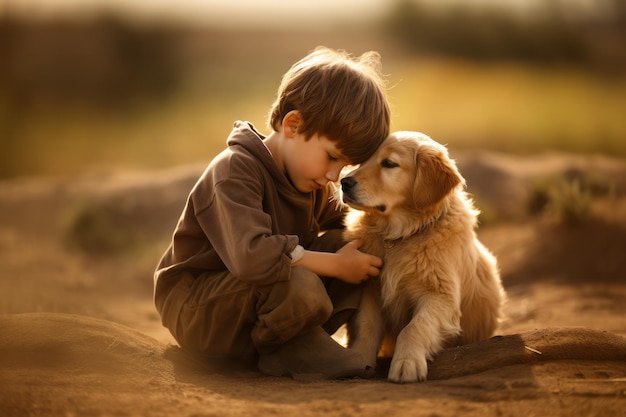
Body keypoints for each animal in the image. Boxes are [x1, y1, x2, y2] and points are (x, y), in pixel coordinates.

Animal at [338, 132, 504, 382]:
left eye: (389, 164)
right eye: (364, 160)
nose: (344, 183)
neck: (399, 235)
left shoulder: (440, 295)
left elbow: (415, 326)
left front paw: (407, 362)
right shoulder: (370, 288)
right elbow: (365, 326)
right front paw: (358, 358)